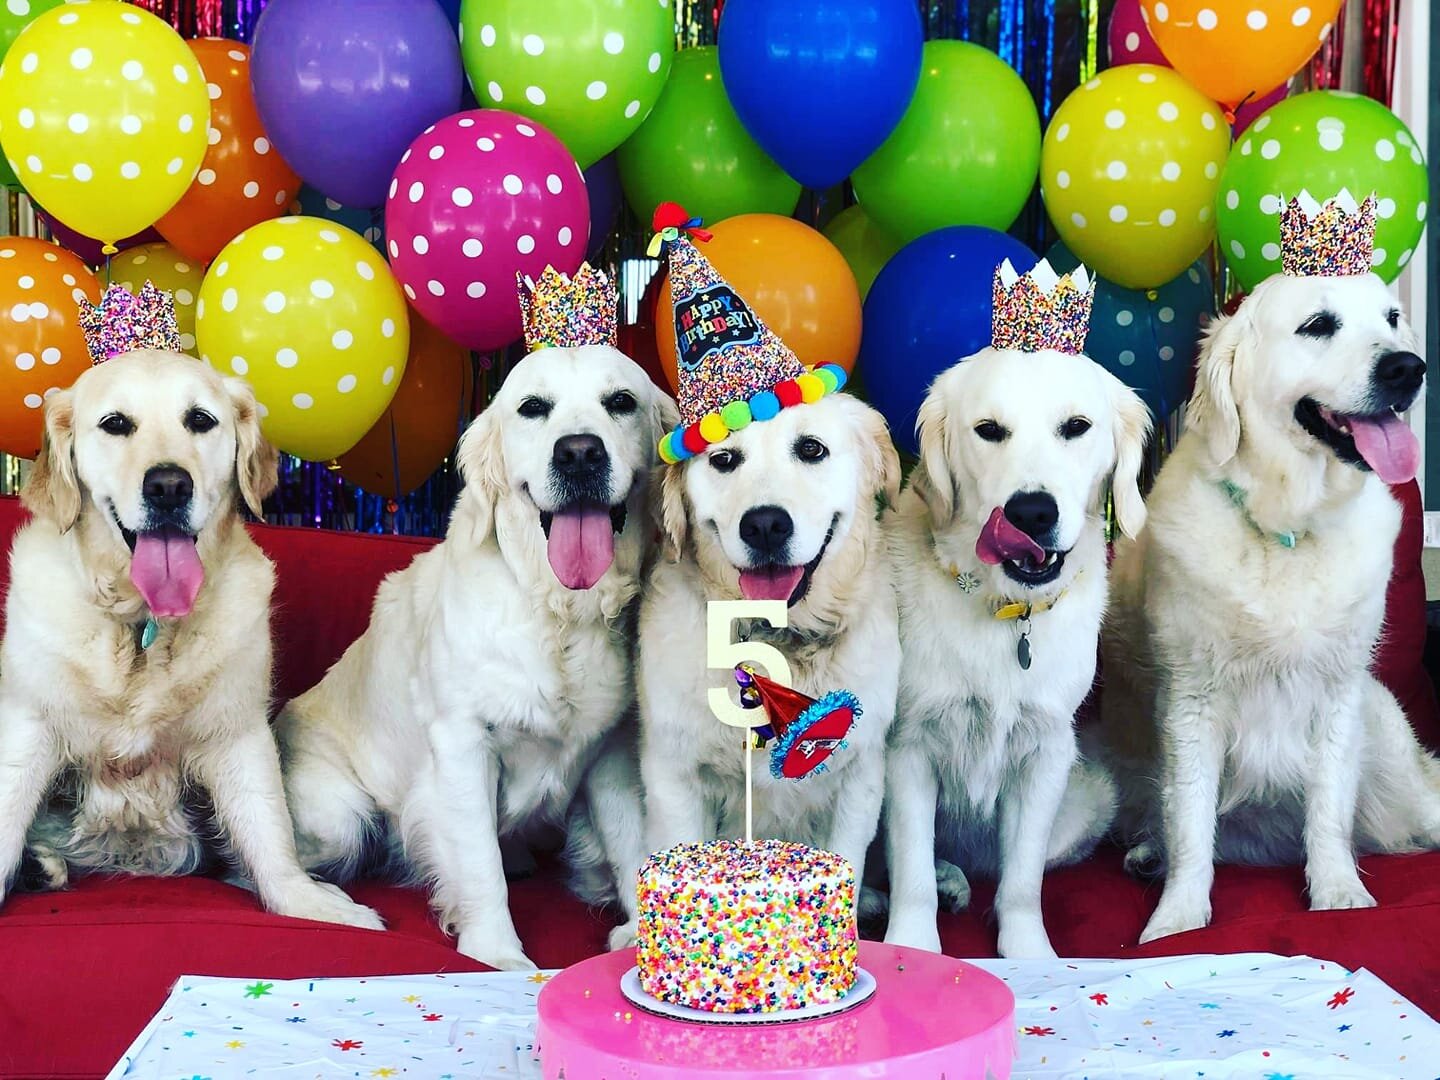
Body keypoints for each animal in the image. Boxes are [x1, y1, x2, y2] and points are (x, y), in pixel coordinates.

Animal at [0, 350, 380, 929]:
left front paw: (305, 901)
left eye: (200, 420)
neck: (142, 627)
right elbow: (6, 816)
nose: (168, 486)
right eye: (116, 424)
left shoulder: (238, 731)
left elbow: (270, 834)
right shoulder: (28, 723)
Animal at [275, 344, 676, 970]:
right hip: (340, 814)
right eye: (533, 407)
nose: (579, 453)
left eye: (621, 402)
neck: (558, 610)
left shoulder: (612, 747)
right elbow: (480, 863)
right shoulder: (462, 742)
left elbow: (632, 835)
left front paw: (641, 932)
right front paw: (496, 952)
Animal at [637, 393, 901, 893]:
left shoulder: (861, 774)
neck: (777, 641)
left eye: (812, 449)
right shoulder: (674, 775)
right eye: (724, 460)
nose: (764, 525)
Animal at [883, 346, 1150, 959]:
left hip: (1090, 796)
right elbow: (910, 868)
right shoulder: (907, 747)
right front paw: (913, 947)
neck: (1007, 612)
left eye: (1075, 427)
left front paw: (1030, 954)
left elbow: (1023, 878)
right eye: (988, 430)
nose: (1031, 512)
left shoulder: (1046, 749)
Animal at [1098, 270, 1440, 945]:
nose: (1407, 368)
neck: (1288, 532)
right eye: (1318, 325)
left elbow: (1328, 810)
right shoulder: (1191, 701)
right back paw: (1149, 855)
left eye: (1392, 319)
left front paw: (1339, 894)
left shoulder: (1338, 695)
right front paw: (1178, 920)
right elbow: (1191, 822)